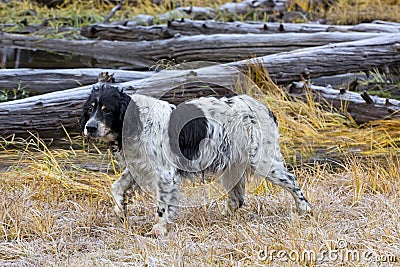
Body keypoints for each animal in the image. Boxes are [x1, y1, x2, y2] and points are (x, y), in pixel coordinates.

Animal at [79, 83, 312, 237]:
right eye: (90, 109)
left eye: (107, 110)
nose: (90, 127)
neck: (137, 122)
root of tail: (265, 109)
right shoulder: (139, 166)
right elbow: (116, 187)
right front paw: (121, 210)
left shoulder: (165, 175)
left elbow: (162, 207)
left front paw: (158, 230)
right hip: (234, 164)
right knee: (237, 198)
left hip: (262, 161)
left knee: (292, 181)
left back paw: (305, 209)